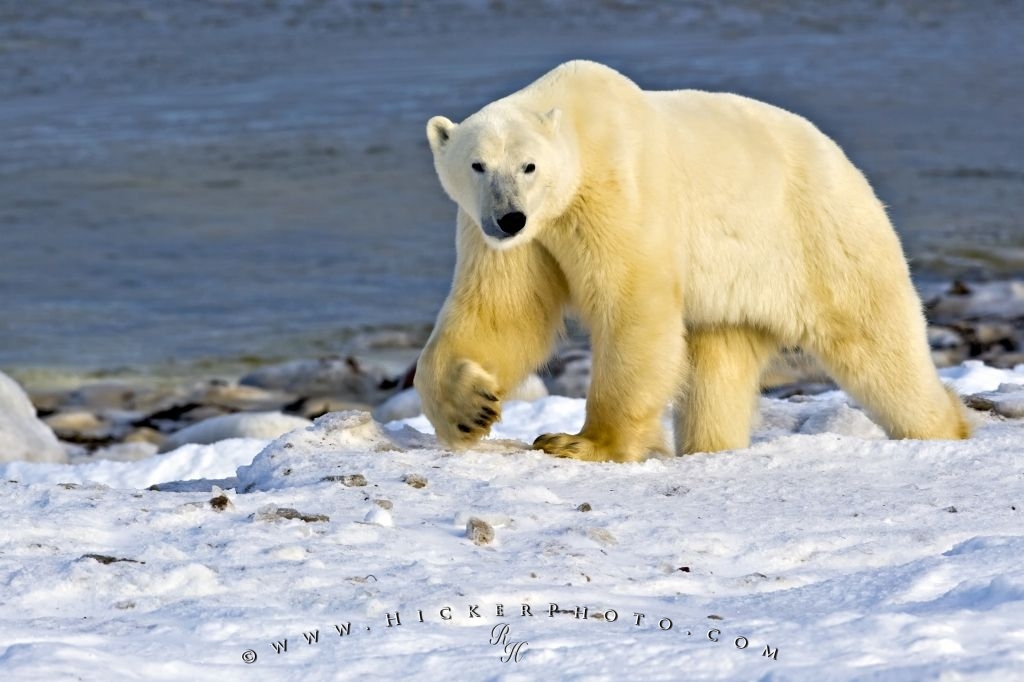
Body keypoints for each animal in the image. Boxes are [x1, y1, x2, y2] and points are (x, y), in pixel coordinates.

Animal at [415, 60, 969, 462]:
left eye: (529, 166)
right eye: (477, 164)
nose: (510, 217)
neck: (581, 124)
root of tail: (846, 164)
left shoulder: (620, 193)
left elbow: (633, 306)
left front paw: (581, 443)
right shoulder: (516, 237)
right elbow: (502, 313)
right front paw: (469, 409)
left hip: (822, 240)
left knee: (878, 345)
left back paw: (944, 427)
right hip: (740, 290)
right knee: (718, 367)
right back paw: (711, 447)